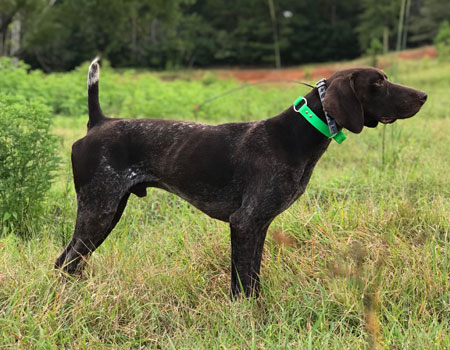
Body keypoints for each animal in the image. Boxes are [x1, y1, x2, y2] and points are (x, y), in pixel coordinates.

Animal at [54, 59, 428, 298]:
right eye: (377, 84)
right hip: (99, 209)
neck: (296, 135)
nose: (423, 96)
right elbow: (244, 283)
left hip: (109, 210)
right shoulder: (245, 221)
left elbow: (251, 278)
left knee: (72, 262)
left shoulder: (258, 224)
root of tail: (99, 122)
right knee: (65, 262)